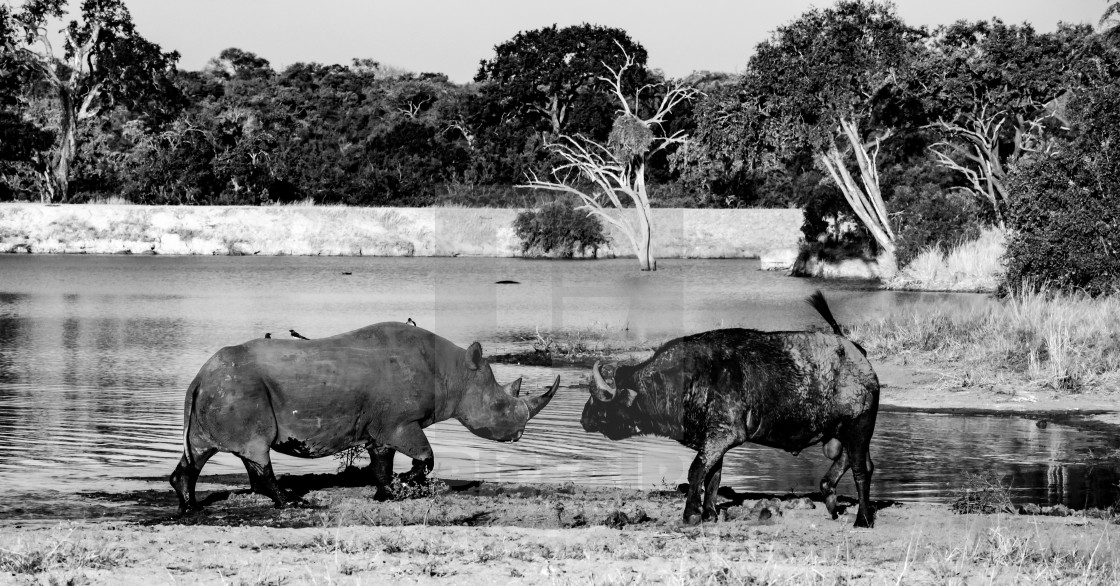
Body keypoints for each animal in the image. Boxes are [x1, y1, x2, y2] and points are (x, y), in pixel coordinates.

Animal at [169, 322, 560, 515]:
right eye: (499, 407)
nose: (519, 435)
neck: (455, 373)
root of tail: (198, 377)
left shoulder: (383, 425)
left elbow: (381, 462)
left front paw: (388, 494)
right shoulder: (401, 422)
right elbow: (426, 456)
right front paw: (407, 484)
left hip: (220, 392)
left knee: (201, 450)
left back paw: (190, 508)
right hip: (238, 391)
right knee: (256, 447)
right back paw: (294, 503)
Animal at [582, 291, 878, 526]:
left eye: (600, 399)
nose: (584, 419)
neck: (691, 378)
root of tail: (857, 353)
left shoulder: (721, 436)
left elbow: (696, 471)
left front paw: (691, 514)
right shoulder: (715, 440)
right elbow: (713, 477)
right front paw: (710, 514)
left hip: (859, 426)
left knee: (861, 470)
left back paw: (863, 519)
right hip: (844, 432)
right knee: (856, 463)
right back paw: (830, 498)